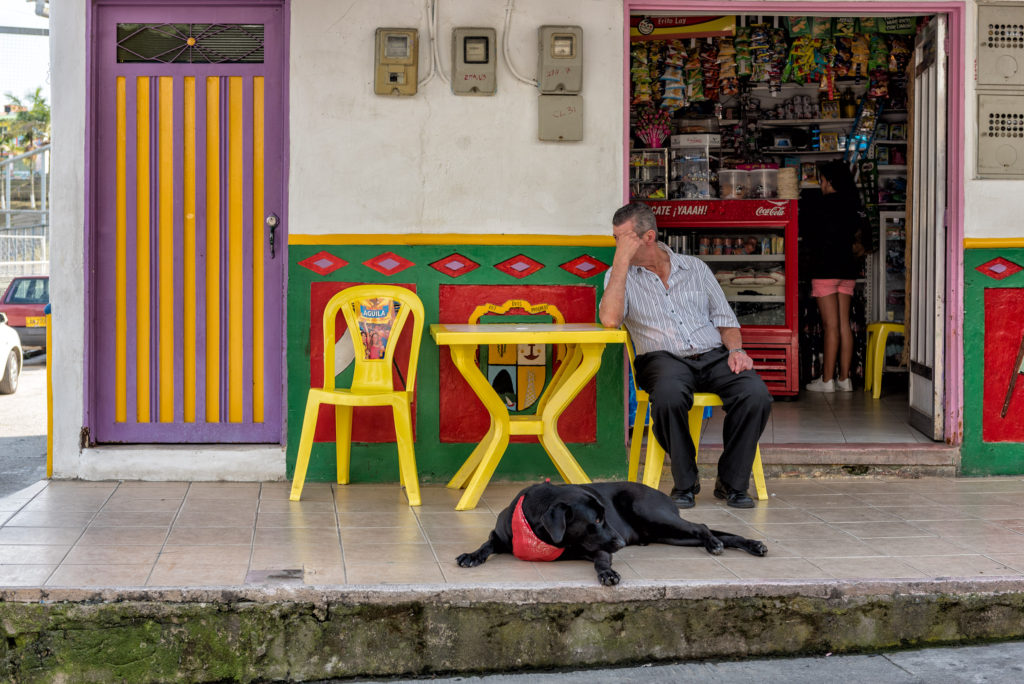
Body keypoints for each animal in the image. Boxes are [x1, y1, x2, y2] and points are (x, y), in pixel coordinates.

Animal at [458, 479, 770, 585]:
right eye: (595, 520)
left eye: (604, 517)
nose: (620, 542)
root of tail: (662, 494)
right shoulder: (500, 537)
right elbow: (486, 545)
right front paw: (471, 555)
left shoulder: (598, 548)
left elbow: (600, 560)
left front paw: (607, 573)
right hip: (669, 534)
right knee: (713, 532)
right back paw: (750, 545)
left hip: (655, 515)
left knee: (703, 526)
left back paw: (719, 544)